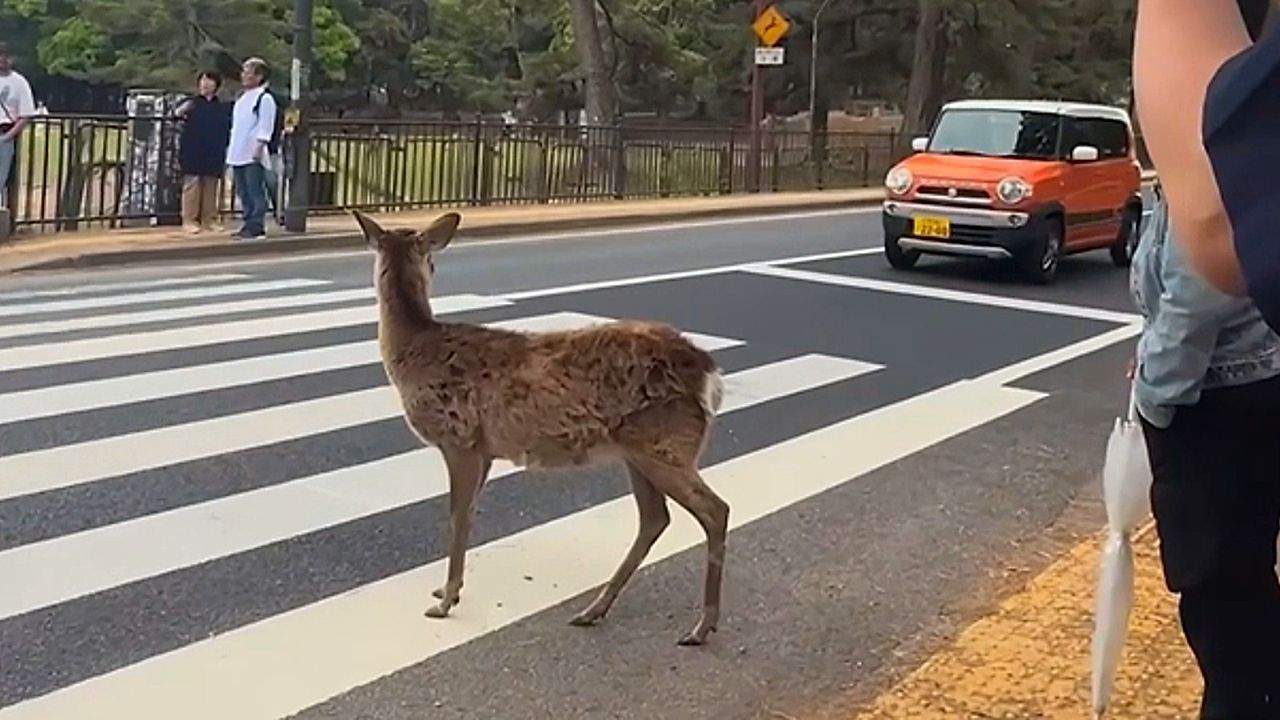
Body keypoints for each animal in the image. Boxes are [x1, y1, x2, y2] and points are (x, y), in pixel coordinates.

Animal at [352, 210, 731, 646]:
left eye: (433, 261)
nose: (432, 268)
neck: (413, 350)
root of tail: (710, 376)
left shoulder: (459, 438)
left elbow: (457, 515)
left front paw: (445, 601)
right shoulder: (485, 450)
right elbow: (470, 513)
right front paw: (447, 591)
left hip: (665, 444)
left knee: (714, 510)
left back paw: (701, 626)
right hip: (639, 449)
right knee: (655, 517)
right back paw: (594, 610)